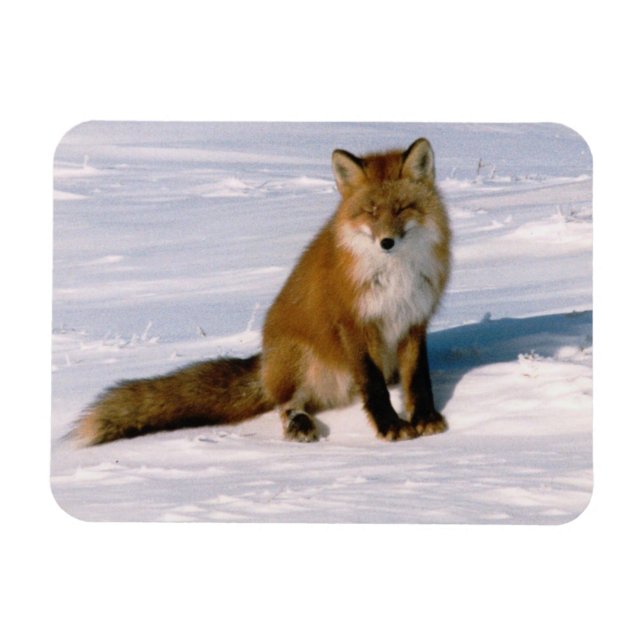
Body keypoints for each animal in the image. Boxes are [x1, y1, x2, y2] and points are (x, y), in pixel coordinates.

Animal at [73, 137, 451, 445]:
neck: (394, 274)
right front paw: (391, 426)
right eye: (371, 211)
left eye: (402, 208)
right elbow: (373, 387)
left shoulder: (414, 319)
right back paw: (299, 425)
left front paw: (425, 419)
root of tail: (264, 363)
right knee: (286, 404)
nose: (386, 242)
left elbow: (418, 379)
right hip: (301, 359)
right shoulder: (354, 324)